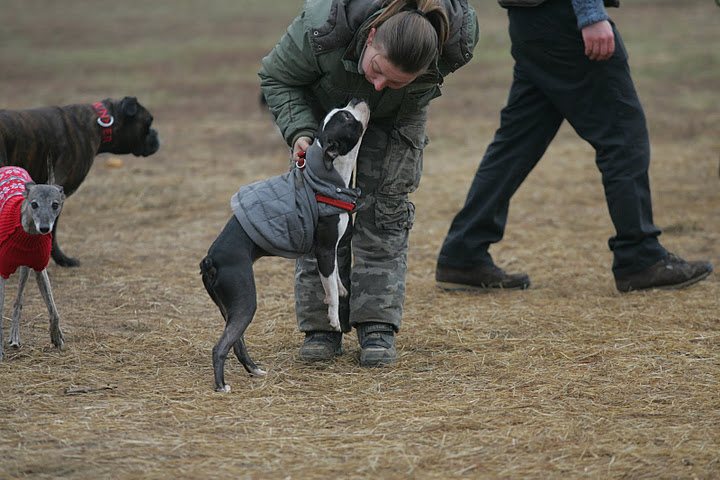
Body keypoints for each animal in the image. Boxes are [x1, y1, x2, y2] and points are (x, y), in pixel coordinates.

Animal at [0, 168, 65, 360]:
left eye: (55, 205)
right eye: (34, 204)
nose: (44, 228)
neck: (28, 233)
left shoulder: (39, 268)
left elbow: (53, 309)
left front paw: (56, 336)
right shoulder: (1, 272)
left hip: (25, 270)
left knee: (18, 301)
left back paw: (15, 336)